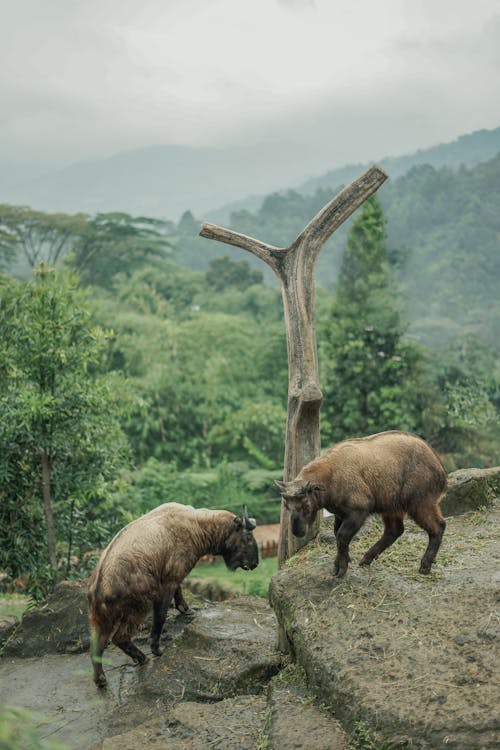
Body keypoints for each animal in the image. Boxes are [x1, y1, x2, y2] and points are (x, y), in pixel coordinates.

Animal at [87, 506, 258, 688]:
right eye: (248, 537)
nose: (255, 564)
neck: (197, 524)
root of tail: (99, 586)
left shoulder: (174, 576)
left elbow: (179, 590)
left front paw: (185, 608)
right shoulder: (168, 581)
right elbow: (160, 616)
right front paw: (155, 647)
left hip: (99, 619)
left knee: (96, 647)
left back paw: (100, 678)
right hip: (139, 607)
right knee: (120, 638)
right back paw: (142, 657)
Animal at [276, 432, 448, 580]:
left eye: (306, 504)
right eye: (286, 505)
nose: (297, 532)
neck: (330, 476)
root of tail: (439, 466)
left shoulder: (358, 511)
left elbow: (342, 536)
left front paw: (341, 568)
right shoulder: (340, 514)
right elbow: (338, 535)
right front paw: (341, 563)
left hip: (419, 503)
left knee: (438, 526)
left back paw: (425, 566)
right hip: (392, 506)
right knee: (395, 530)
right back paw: (367, 558)